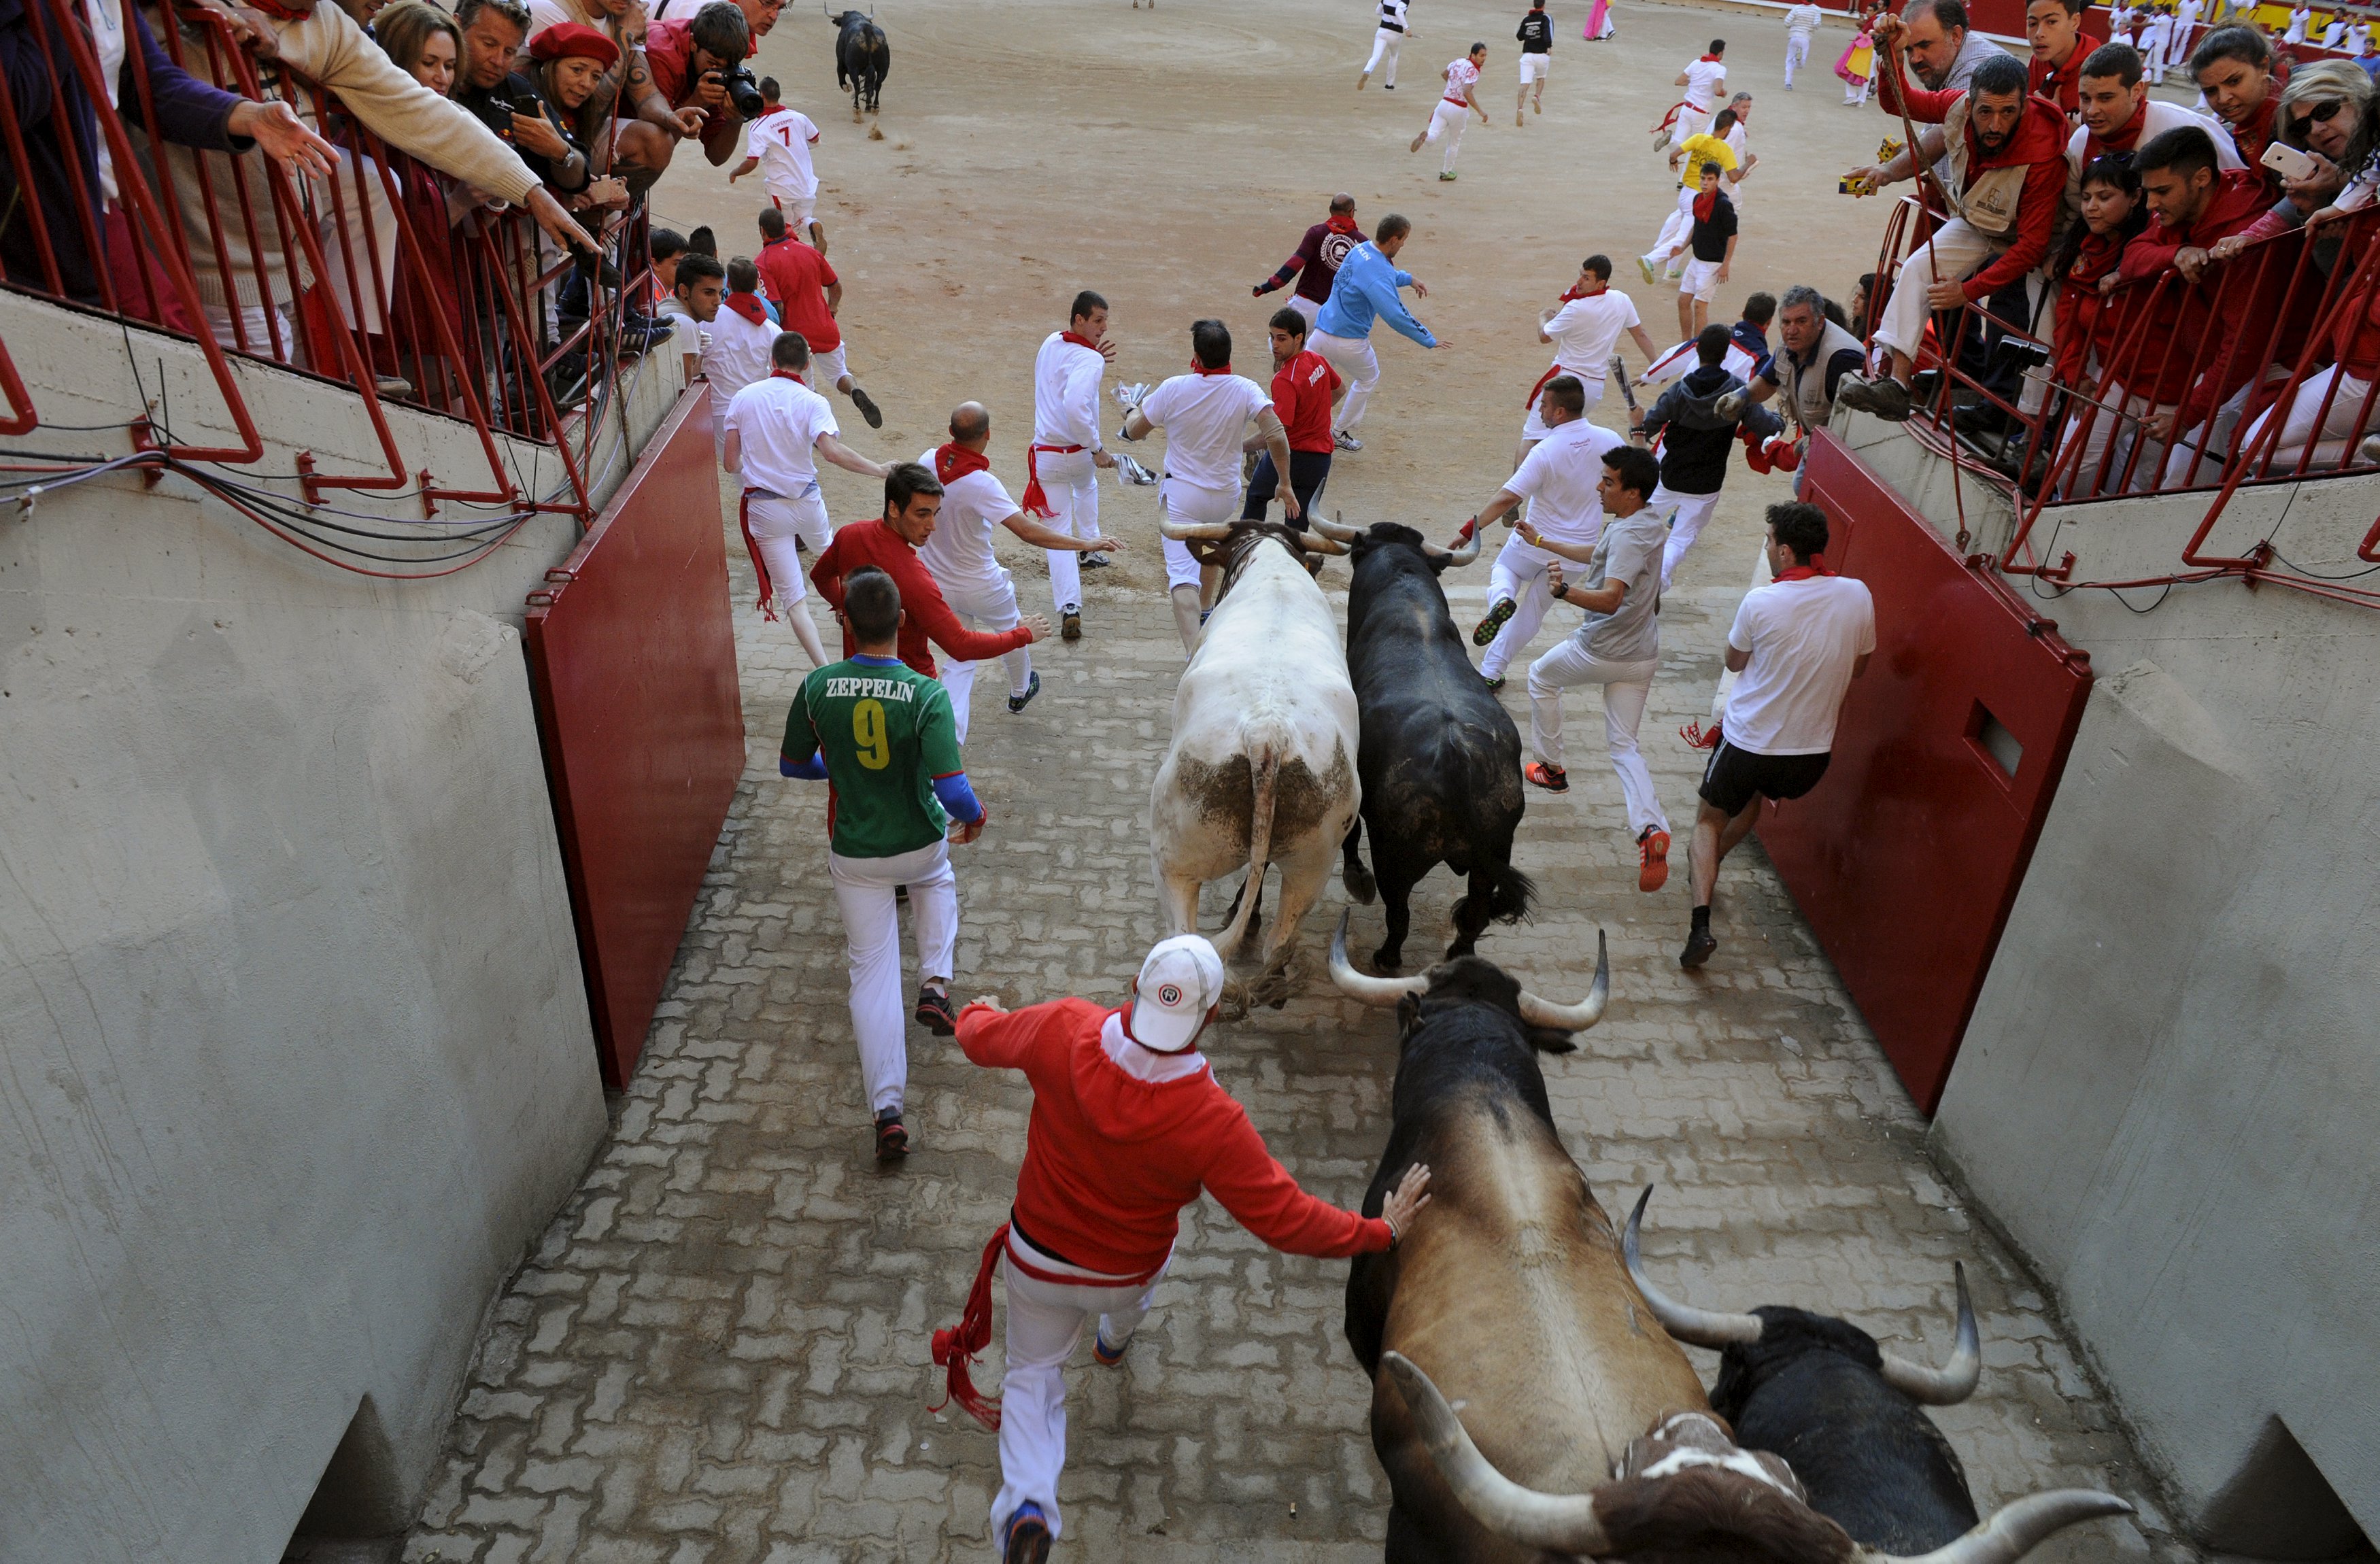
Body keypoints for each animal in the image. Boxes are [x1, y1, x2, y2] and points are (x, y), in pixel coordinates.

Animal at [828, 8, 885, 119]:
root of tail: (868, 31)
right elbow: (869, 86)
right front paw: (868, 106)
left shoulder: (840, 62)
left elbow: (841, 79)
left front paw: (847, 88)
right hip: (883, 68)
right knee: (877, 84)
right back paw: (874, 107)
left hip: (853, 68)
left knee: (857, 85)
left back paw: (856, 108)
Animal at [1152, 511, 1361, 1004]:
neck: (1273, 569)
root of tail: (1268, 735)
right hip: (1314, 865)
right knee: (1279, 945)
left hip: (1174, 861)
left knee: (1184, 936)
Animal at [1333, 519, 1533, 971]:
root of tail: (1458, 761)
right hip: (1497, 853)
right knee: (1475, 914)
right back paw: (1460, 954)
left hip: (1393, 856)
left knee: (1398, 914)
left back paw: (1385, 958)